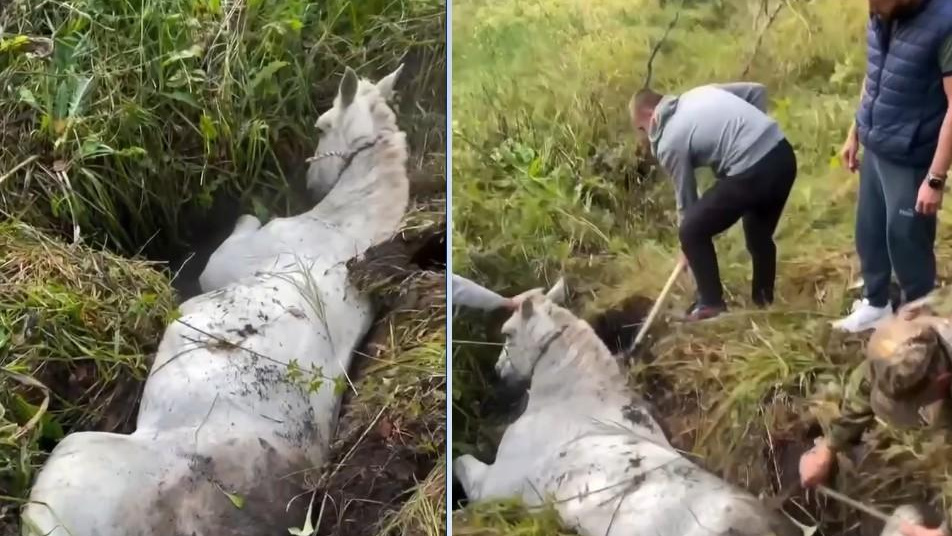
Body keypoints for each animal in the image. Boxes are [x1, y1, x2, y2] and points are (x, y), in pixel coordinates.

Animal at [21, 63, 410, 536]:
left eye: (321, 125)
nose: (310, 183)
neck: (349, 226)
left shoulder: (222, 263)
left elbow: (241, 223)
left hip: (70, 459)